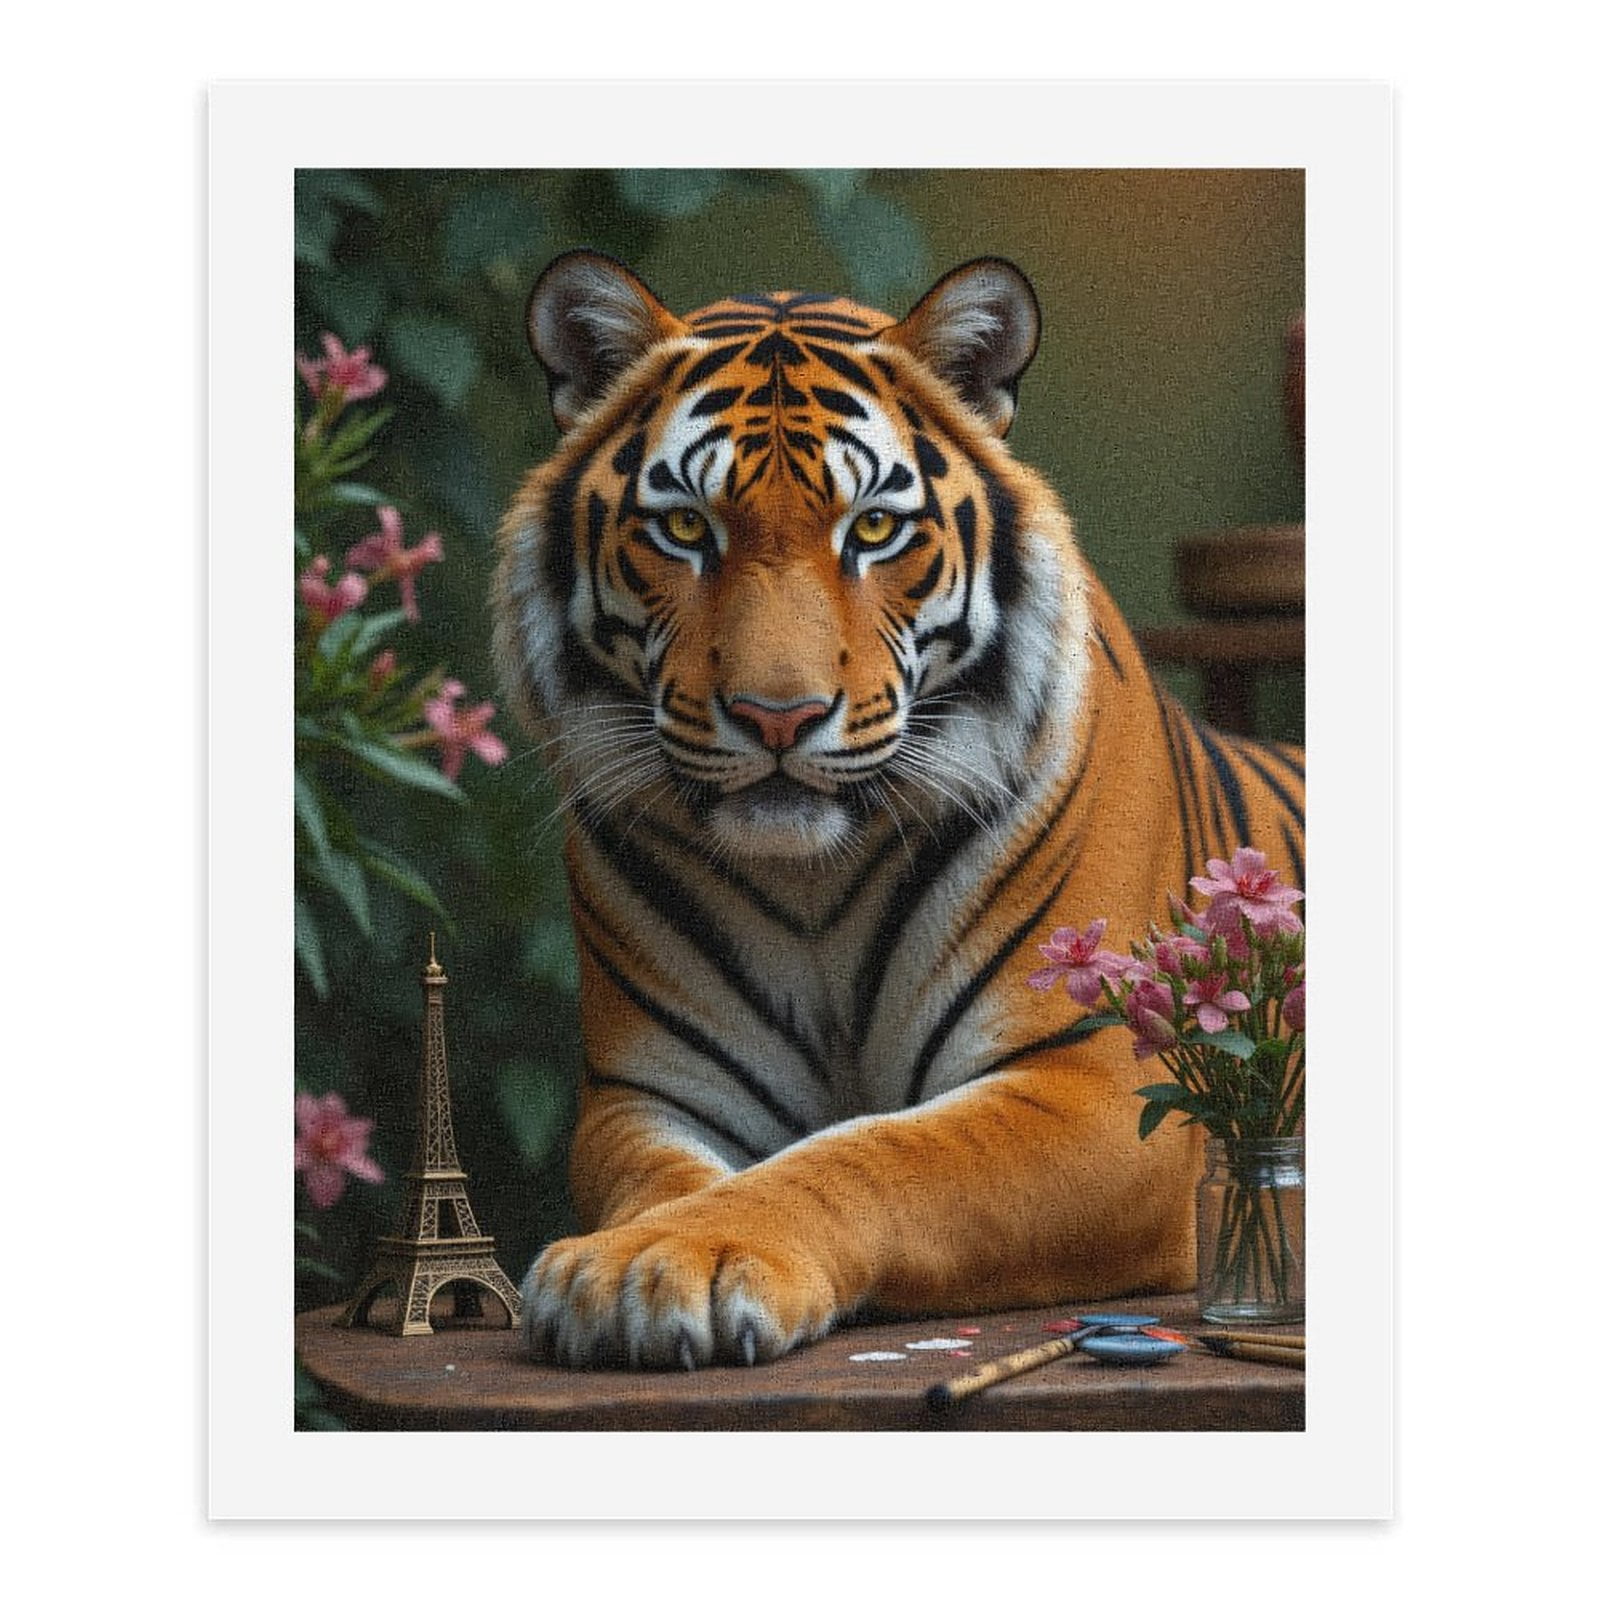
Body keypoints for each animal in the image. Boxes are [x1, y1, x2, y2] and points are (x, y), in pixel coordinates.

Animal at [492, 249, 1305, 1369]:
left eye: (873, 527)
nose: (777, 716)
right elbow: (661, 1184)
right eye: (685, 527)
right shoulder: (645, 1095)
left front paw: (671, 1260)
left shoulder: (1095, 1088)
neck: (811, 881)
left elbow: (865, 1155)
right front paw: (628, 1259)